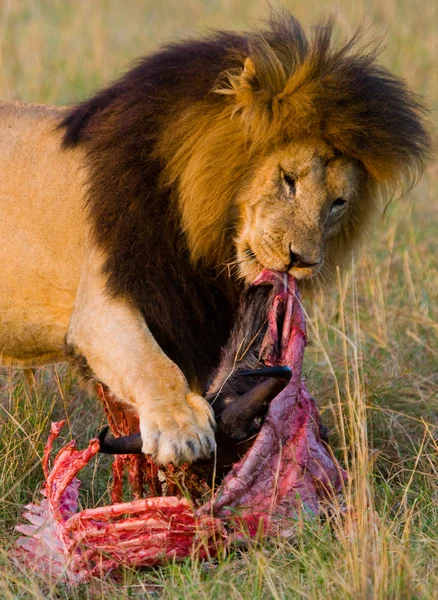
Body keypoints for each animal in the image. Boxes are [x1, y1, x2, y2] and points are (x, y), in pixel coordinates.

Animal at [0, 12, 432, 464]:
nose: (302, 261)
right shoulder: (103, 299)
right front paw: (181, 429)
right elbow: (150, 362)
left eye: (338, 203)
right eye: (289, 179)